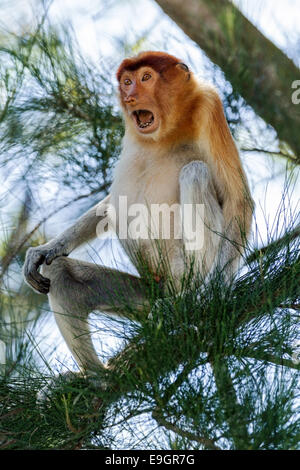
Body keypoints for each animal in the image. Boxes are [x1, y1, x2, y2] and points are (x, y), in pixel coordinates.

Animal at [23, 49, 253, 376]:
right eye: (127, 81)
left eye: (146, 77)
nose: (130, 97)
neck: (165, 131)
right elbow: (110, 204)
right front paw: (48, 248)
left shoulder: (210, 106)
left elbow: (237, 200)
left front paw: (214, 292)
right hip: (146, 294)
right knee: (61, 274)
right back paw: (95, 378)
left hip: (185, 268)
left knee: (195, 172)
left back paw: (188, 299)